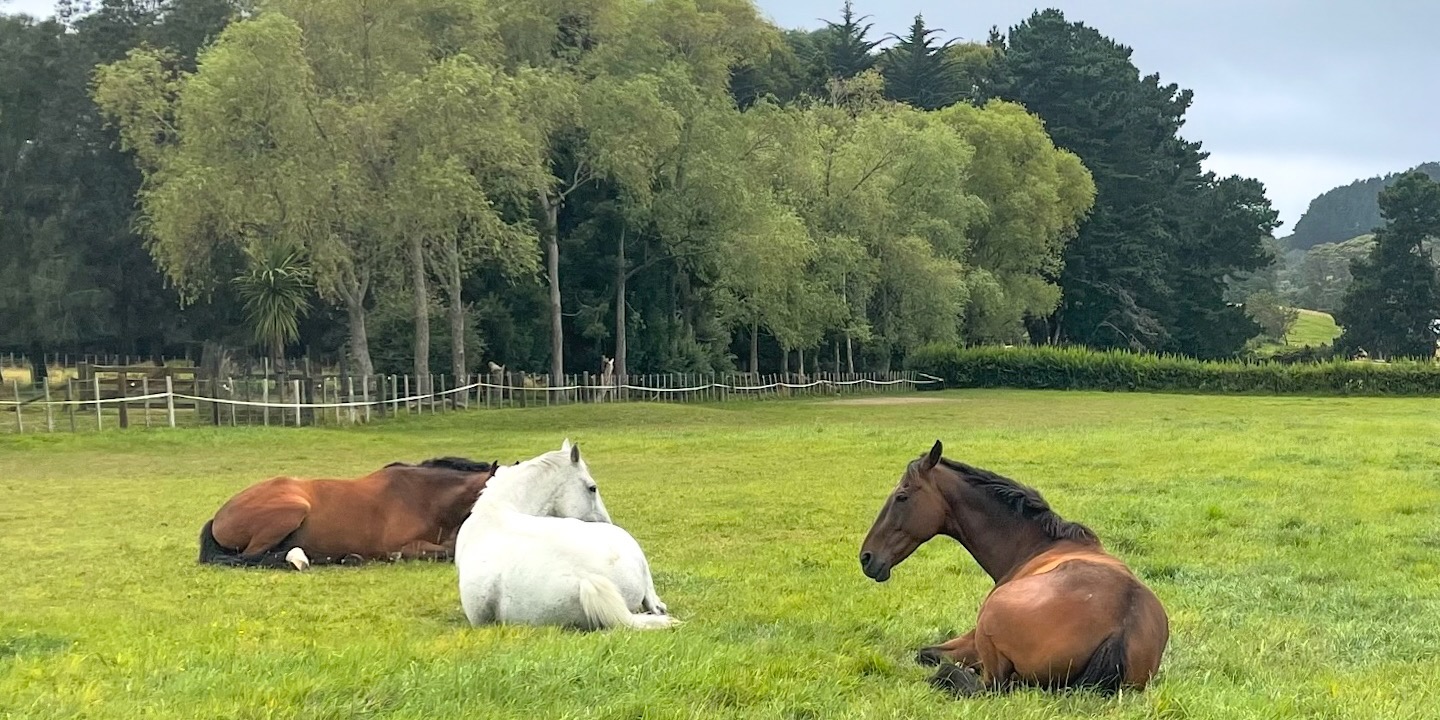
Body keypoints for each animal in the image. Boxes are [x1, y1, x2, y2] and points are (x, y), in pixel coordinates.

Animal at [199, 456, 498, 571]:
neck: (423, 498)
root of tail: (218, 516)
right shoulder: (405, 546)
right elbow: (445, 552)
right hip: (293, 509)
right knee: (250, 557)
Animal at [859, 440, 1168, 696]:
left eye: (902, 496)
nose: (866, 558)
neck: (1036, 545)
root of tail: (1121, 627)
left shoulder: (972, 640)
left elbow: (925, 652)